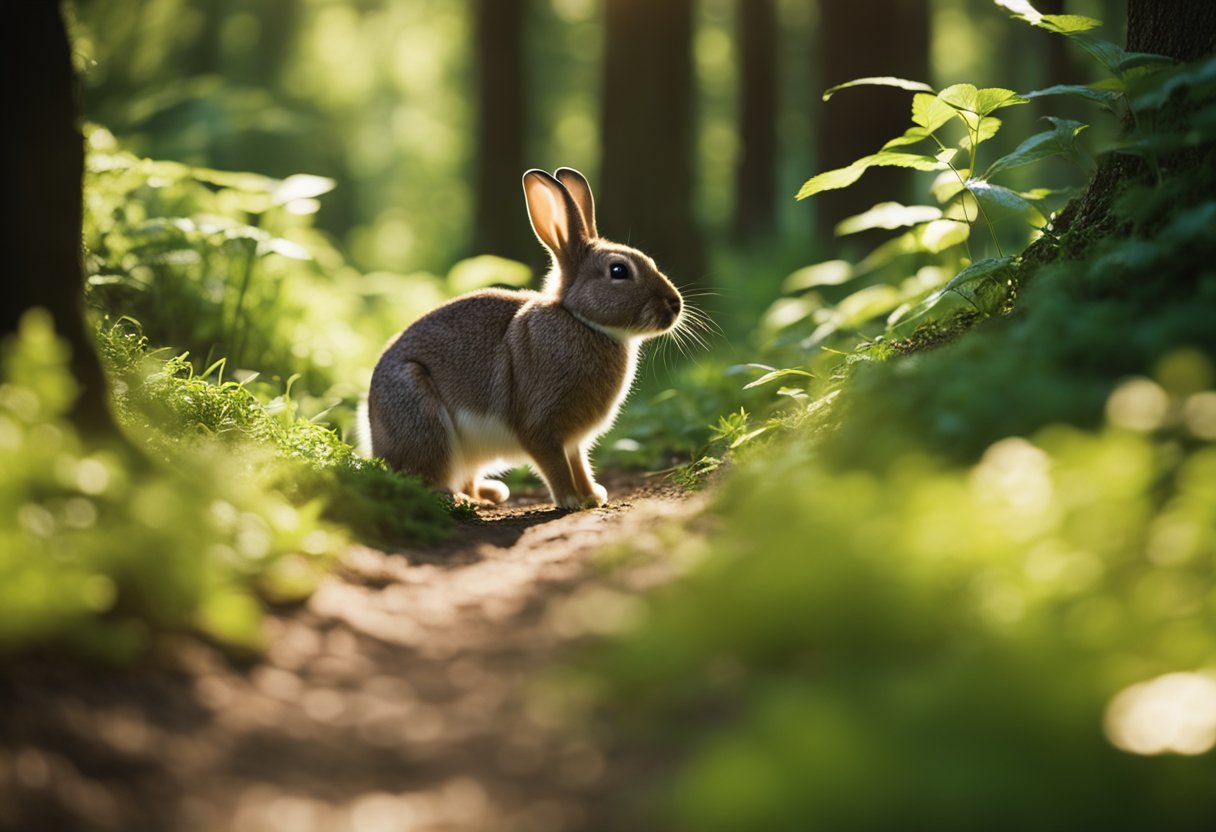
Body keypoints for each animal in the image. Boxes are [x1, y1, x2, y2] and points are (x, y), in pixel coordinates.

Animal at [359, 166, 685, 510]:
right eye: (619, 271)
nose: (675, 305)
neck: (580, 320)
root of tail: (376, 442)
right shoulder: (541, 427)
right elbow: (555, 465)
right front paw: (570, 500)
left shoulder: (573, 440)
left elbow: (579, 463)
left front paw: (592, 496)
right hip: (423, 420)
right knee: (425, 476)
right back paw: (458, 499)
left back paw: (488, 494)